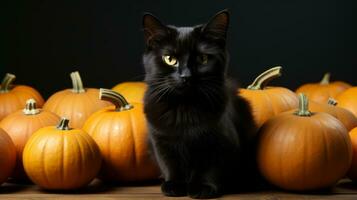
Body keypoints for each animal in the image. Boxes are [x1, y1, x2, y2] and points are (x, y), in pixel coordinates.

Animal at [143, 9, 258, 198]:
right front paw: (174, 185)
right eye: (170, 59)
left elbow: (209, 167)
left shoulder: (219, 141)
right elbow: (169, 163)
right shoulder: (160, 140)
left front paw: (202, 188)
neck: (185, 108)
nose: (186, 76)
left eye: (202, 58)